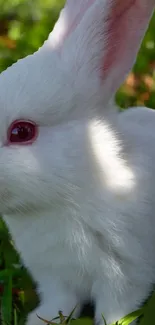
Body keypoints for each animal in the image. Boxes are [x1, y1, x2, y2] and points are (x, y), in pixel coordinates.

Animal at [0, 0, 155, 322]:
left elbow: (115, 307)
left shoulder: (125, 274)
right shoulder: (54, 276)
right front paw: (40, 320)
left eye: (21, 132)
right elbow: (61, 302)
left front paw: (113, 323)